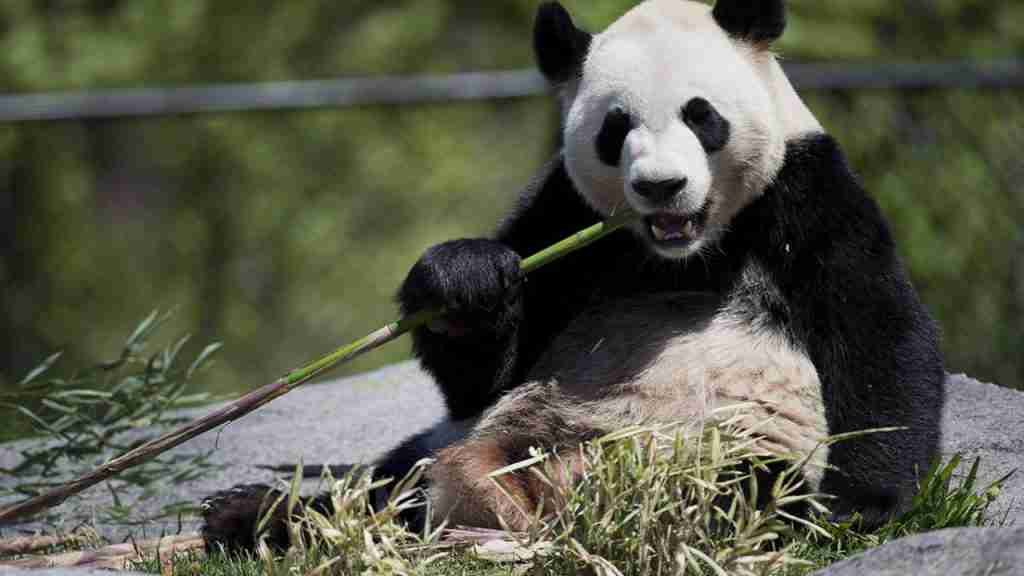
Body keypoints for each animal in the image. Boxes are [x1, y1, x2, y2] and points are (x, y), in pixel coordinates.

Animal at [201, 0, 942, 545]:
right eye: (616, 129)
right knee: (392, 482)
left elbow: (879, 339)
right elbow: (484, 371)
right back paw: (254, 515)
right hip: (462, 441)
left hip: (718, 451)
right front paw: (466, 281)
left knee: (729, 490)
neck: (689, 250)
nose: (661, 187)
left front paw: (860, 506)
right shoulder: (564, 210)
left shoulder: (809, 195)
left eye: (701, 116)